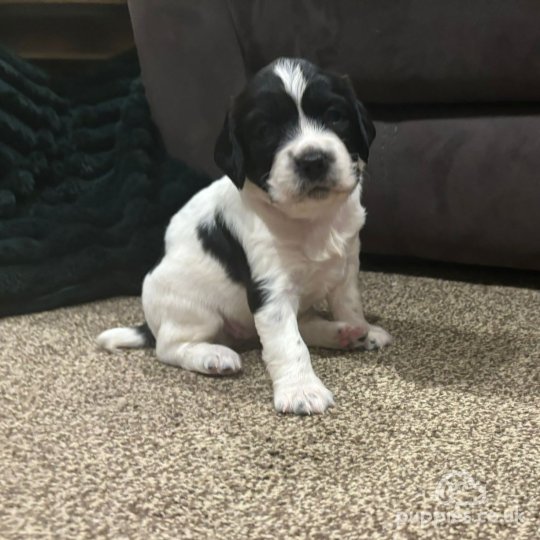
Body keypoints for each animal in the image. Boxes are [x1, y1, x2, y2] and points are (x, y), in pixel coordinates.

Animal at [97, 58, 390, 414]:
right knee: (169, 347)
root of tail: (149, 327)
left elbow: (348, 305)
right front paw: (301, 390)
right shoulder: (270, 291)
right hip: (192, 310)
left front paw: (364, 329)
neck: (308, 218)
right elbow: (288, 343)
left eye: (335, 116)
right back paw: (212, 355)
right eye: (265, 131)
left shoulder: (345, 267)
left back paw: (344, 333)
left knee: (305, 324)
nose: (313, 161)